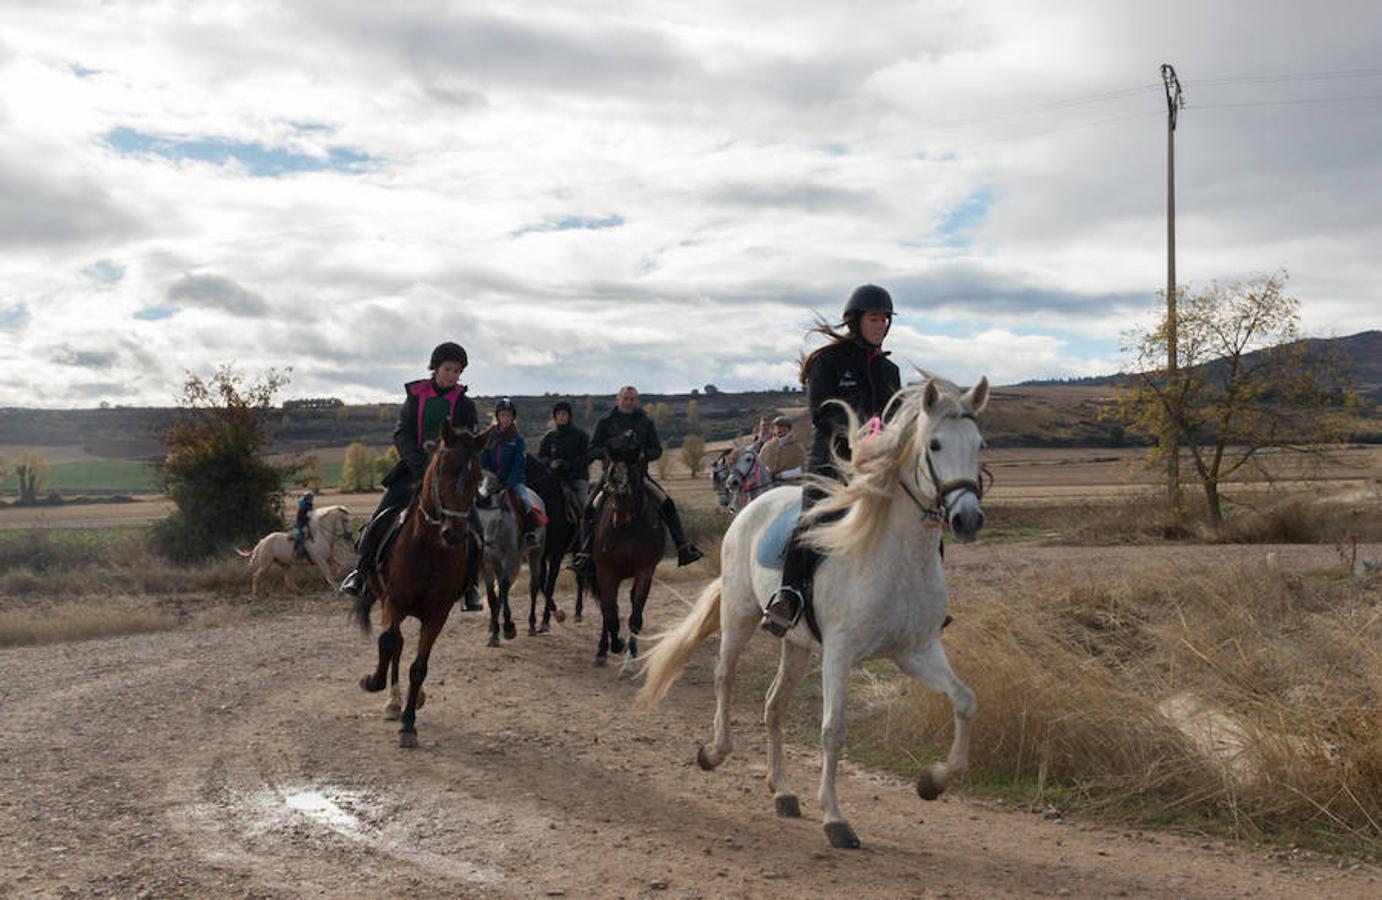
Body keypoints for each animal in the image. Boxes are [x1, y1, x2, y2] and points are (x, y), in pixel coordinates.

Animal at [351, 425, 486, 752]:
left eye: (478, 476)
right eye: (442, 469)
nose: (454, 534)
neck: (429, 550)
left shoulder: (437, 615)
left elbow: (419, 667)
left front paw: (409, 724)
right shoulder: (394, 602)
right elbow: (388, 643)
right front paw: (374, 682)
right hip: (385, 599)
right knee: (395, 643)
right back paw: (391, 700)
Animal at [591, 436, 666, 674]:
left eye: (633, 470)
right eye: (612, 470)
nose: (620, 515)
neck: (626, 528)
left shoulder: (644, 571)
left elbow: (634, 616)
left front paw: (629, 660)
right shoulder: (605, 572)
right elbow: (610, 615)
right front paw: (615, 644)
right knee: (607, 611)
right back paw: (601, 651)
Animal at [641, 378, 989, 851]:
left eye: (979, 443)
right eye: (934, 444)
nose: (968, 519)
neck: (895, 555)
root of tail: (751, 508)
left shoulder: (916, 651)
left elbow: (965, 701)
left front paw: (932, 781)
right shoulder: (840, 653)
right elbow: (833, 730)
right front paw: (836, 818)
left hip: (796, 644)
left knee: (773, 705)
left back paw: (782, 791)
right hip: (739, 615)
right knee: (724, 677)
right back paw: (714, 752)